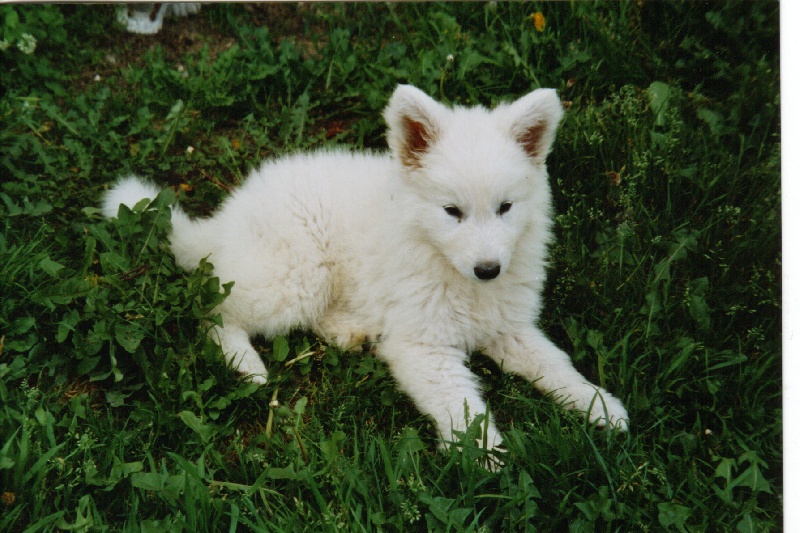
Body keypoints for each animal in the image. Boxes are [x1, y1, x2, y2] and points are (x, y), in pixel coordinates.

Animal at [103, 85, 632, 450]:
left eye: (505, 208)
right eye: (452, 212)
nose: (489, 270)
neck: (442, 262)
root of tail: (224, 218)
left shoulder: (508, 326)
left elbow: (554, 363)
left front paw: (598, 405)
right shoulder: (422, 345)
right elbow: (460, 404)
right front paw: (485, 458)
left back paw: (348, 331)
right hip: (298, 273)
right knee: (215, 309)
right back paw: (247, 365)